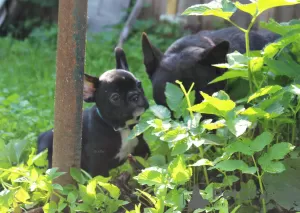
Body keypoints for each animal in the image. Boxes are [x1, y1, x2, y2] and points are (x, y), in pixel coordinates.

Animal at [37, 47, 150, 177]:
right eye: (115, 97)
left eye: (139, 84)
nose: (134, 95)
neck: (121, 127)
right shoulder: (98, 162)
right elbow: (101, 178)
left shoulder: (141, 148)